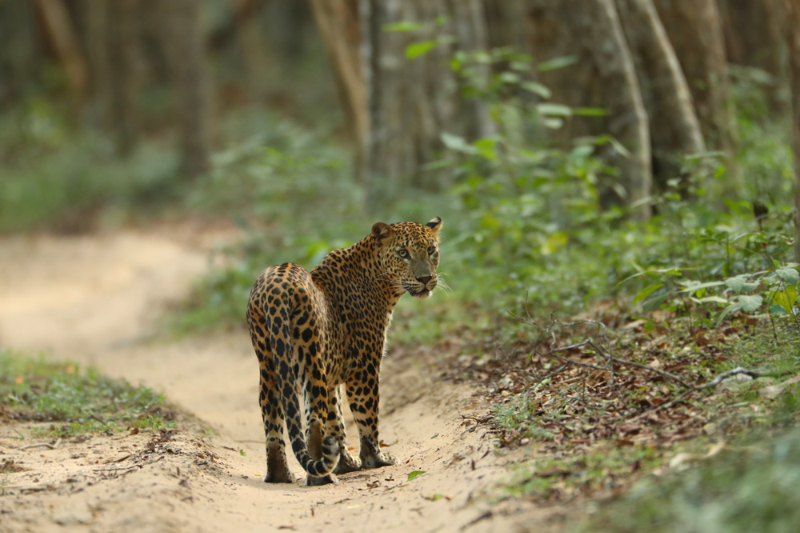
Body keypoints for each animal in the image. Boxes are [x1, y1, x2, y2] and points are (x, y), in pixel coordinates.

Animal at [245, 216, 444, 486]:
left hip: (268, 364)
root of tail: (276, 289)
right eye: (403, 253)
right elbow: (367, 416)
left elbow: (336, 419)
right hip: (311, 360)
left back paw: (280, 475)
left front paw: (345, 464)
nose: (425, 278)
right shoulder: (364, 367)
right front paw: (375, 459)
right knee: (313, 422)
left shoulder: (332, 375)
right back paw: (322, 478)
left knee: (272, 419)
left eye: (431, 250)